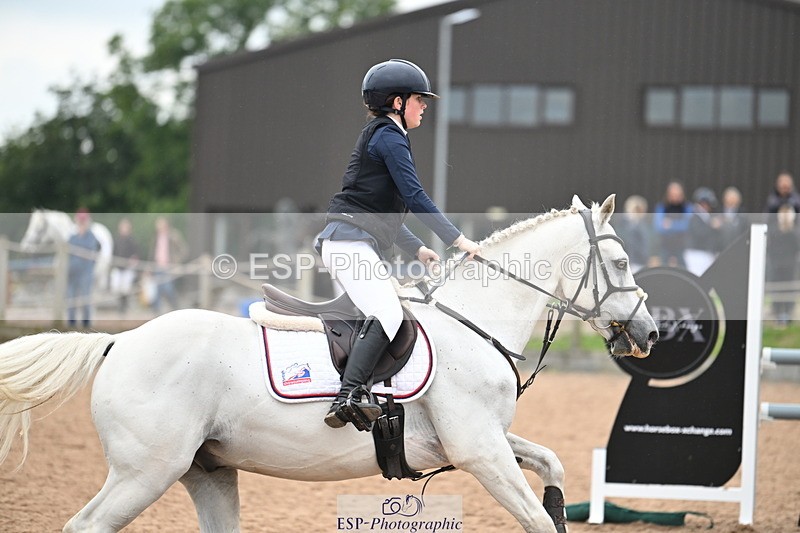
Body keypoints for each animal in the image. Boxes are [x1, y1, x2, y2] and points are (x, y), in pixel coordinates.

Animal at [0, 195, 658, 533]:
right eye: (622, 263)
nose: (648, 333)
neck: (474, 321)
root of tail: (122, 342)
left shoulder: (488, 441)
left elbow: (550, 464)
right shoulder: (481, 451)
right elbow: (538, 519)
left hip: (206, 471)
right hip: (144, 473)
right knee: (85, 527)